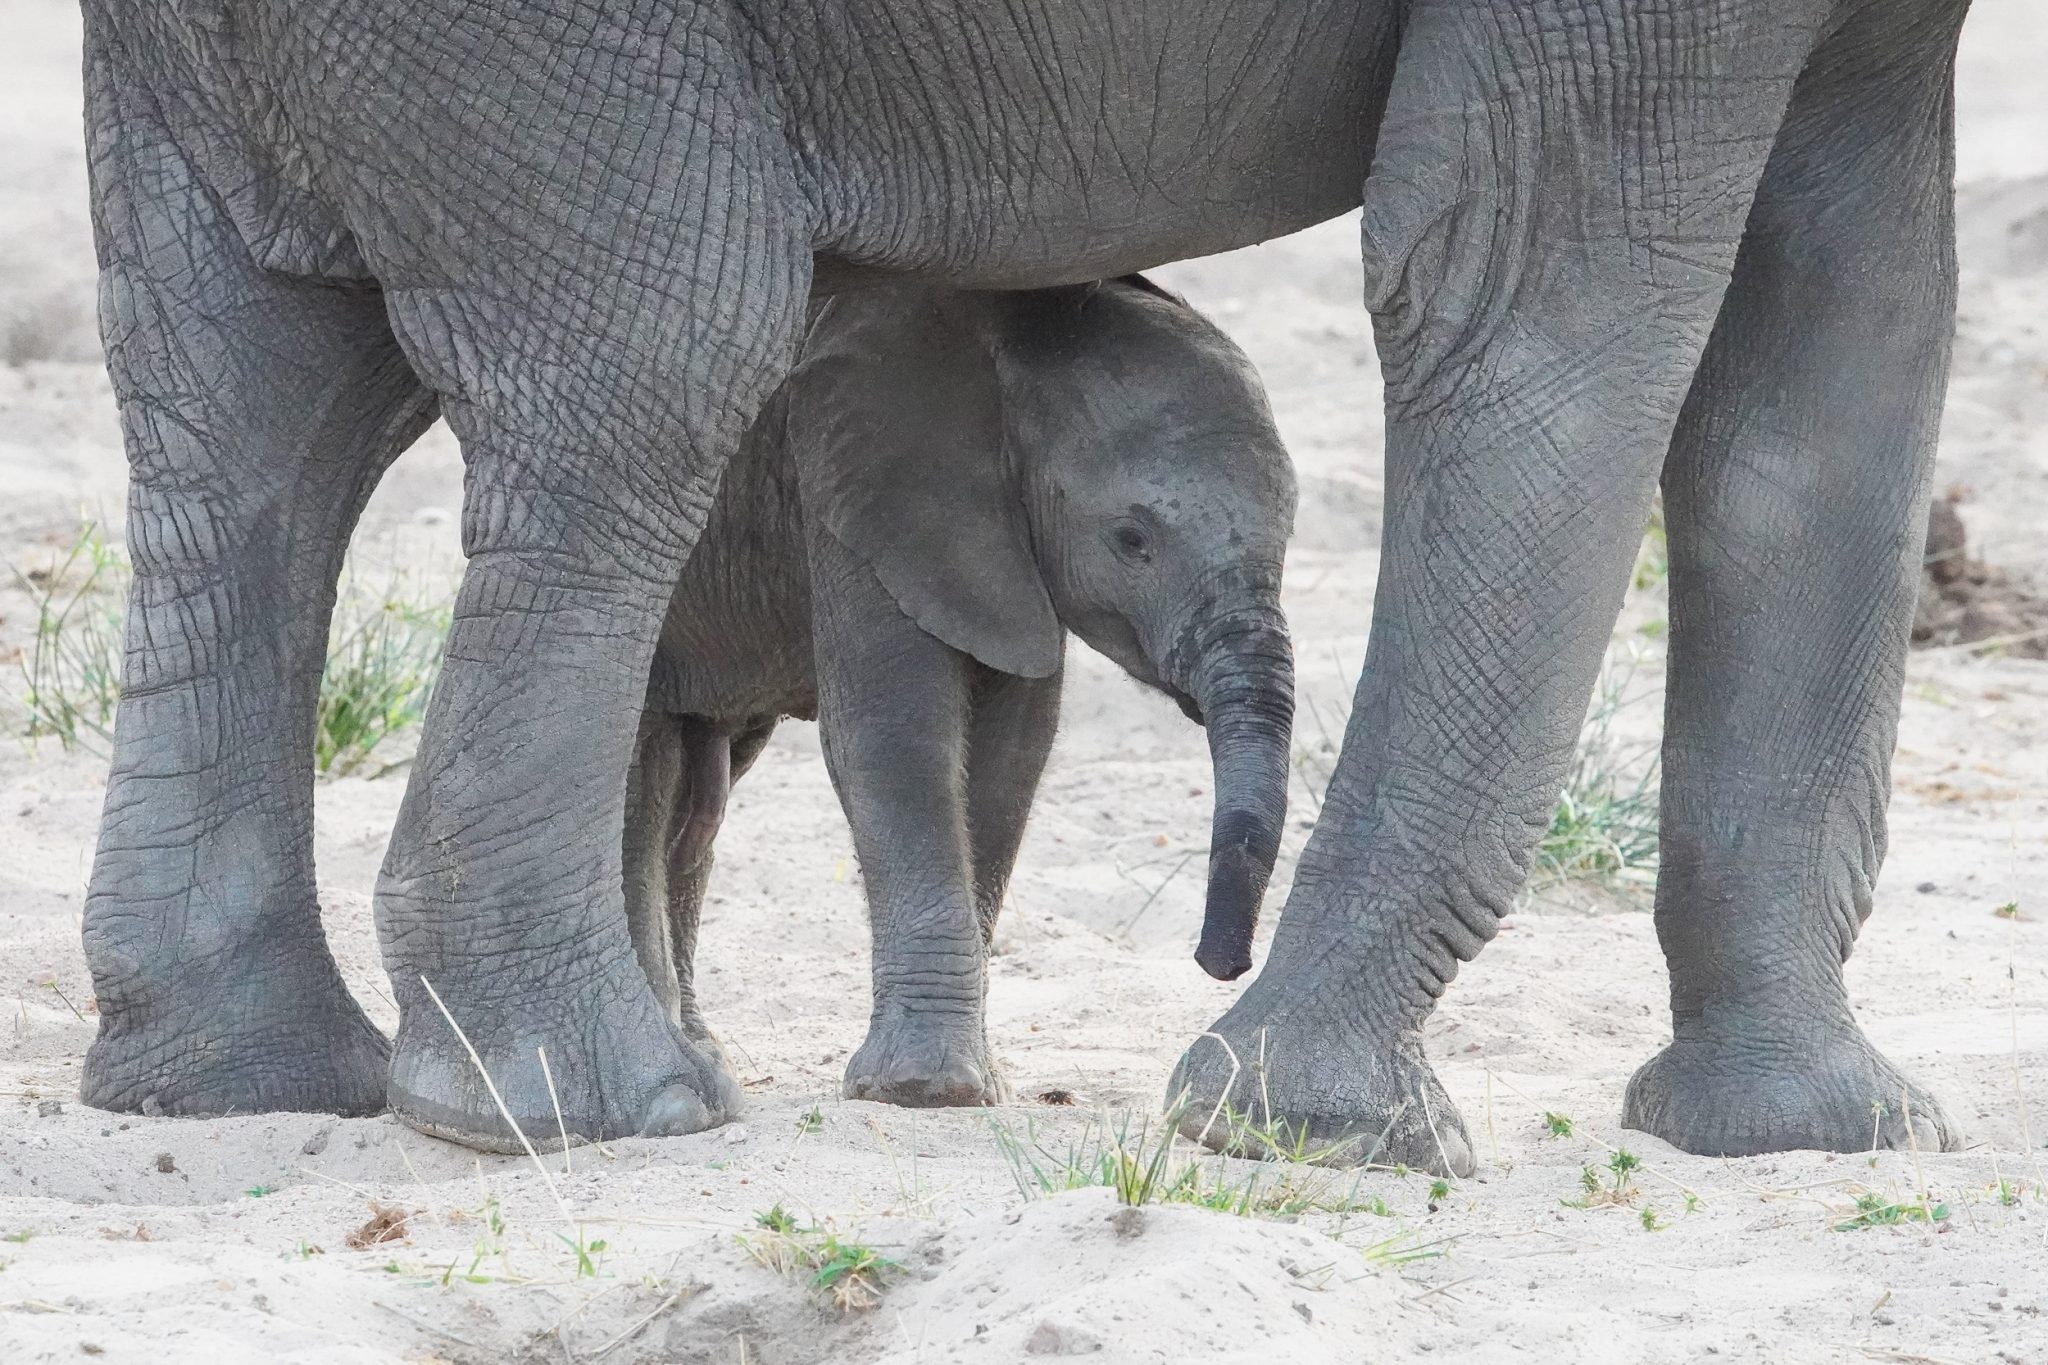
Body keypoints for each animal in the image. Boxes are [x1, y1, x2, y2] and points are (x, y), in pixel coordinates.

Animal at [624, 276, 1296, 1111]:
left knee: (700, 791)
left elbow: (1012, 755)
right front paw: (921, 1089)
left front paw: (975, 1082)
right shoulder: (862, 483)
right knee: (640, 779)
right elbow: (892, 738)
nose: (1219, 964)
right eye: (1132, 540)